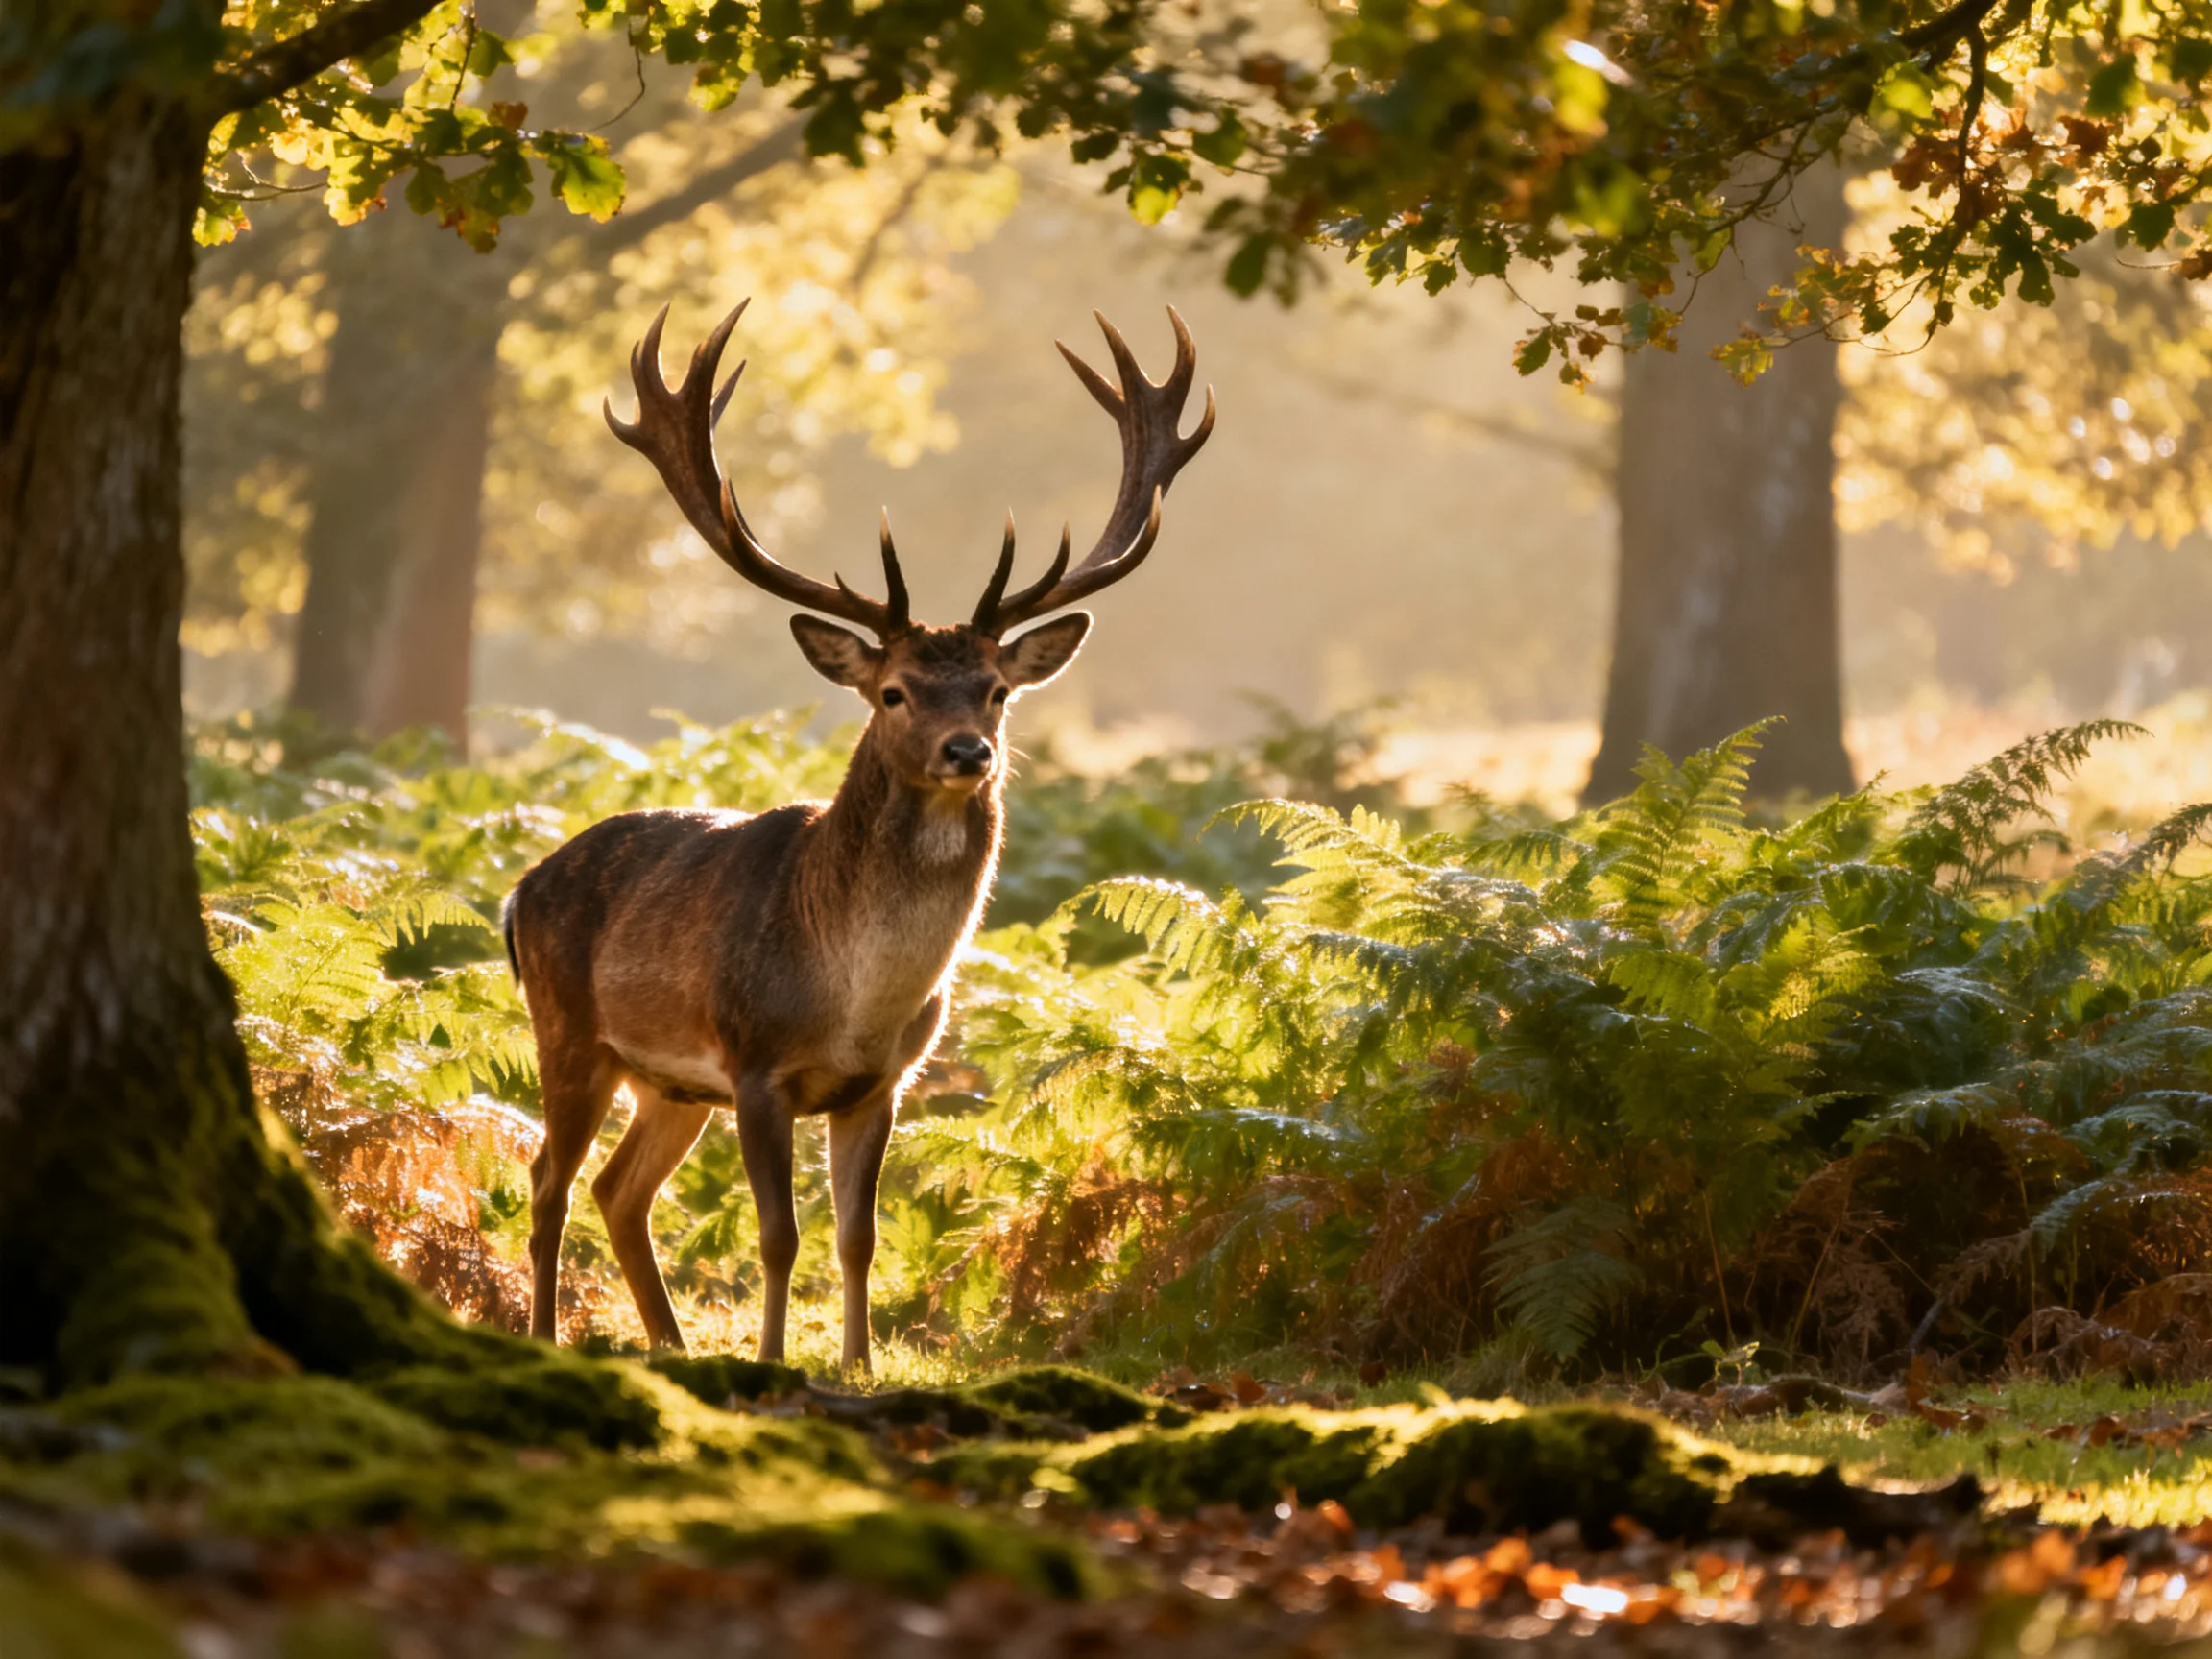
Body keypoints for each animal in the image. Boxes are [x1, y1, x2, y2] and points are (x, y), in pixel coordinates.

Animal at [503, 296, 1213, 1372]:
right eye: (894, 691)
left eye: (997, 689)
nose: (969, 752)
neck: (856, 997)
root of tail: (516, 889)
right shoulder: (755, 1064)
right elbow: (777, 1233)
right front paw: (771, 1360)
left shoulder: (883, 1083)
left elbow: (857, 1235)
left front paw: (858, 1364)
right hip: (571, 1030)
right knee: (547, 1180)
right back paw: (548, 1333)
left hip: (669, 1085)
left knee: (617, 1190)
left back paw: (672, 1344)